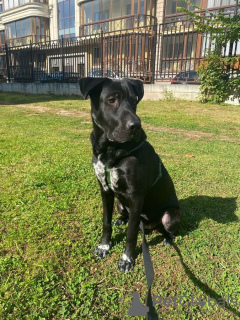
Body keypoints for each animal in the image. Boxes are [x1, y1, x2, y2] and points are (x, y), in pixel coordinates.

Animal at [79, 76, 182, 272]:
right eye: (111, 100)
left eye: (134, 101)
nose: (136, 126)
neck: (109, 150)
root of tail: (149, 225)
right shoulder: (105, 189)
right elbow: (106, 221)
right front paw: (104, 246)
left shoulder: (136, 197)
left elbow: (131, 233)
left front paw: (127, 259)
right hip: (120, 203)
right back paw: (121, 219)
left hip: (170, 215)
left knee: (168, 228)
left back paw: (168, 238)